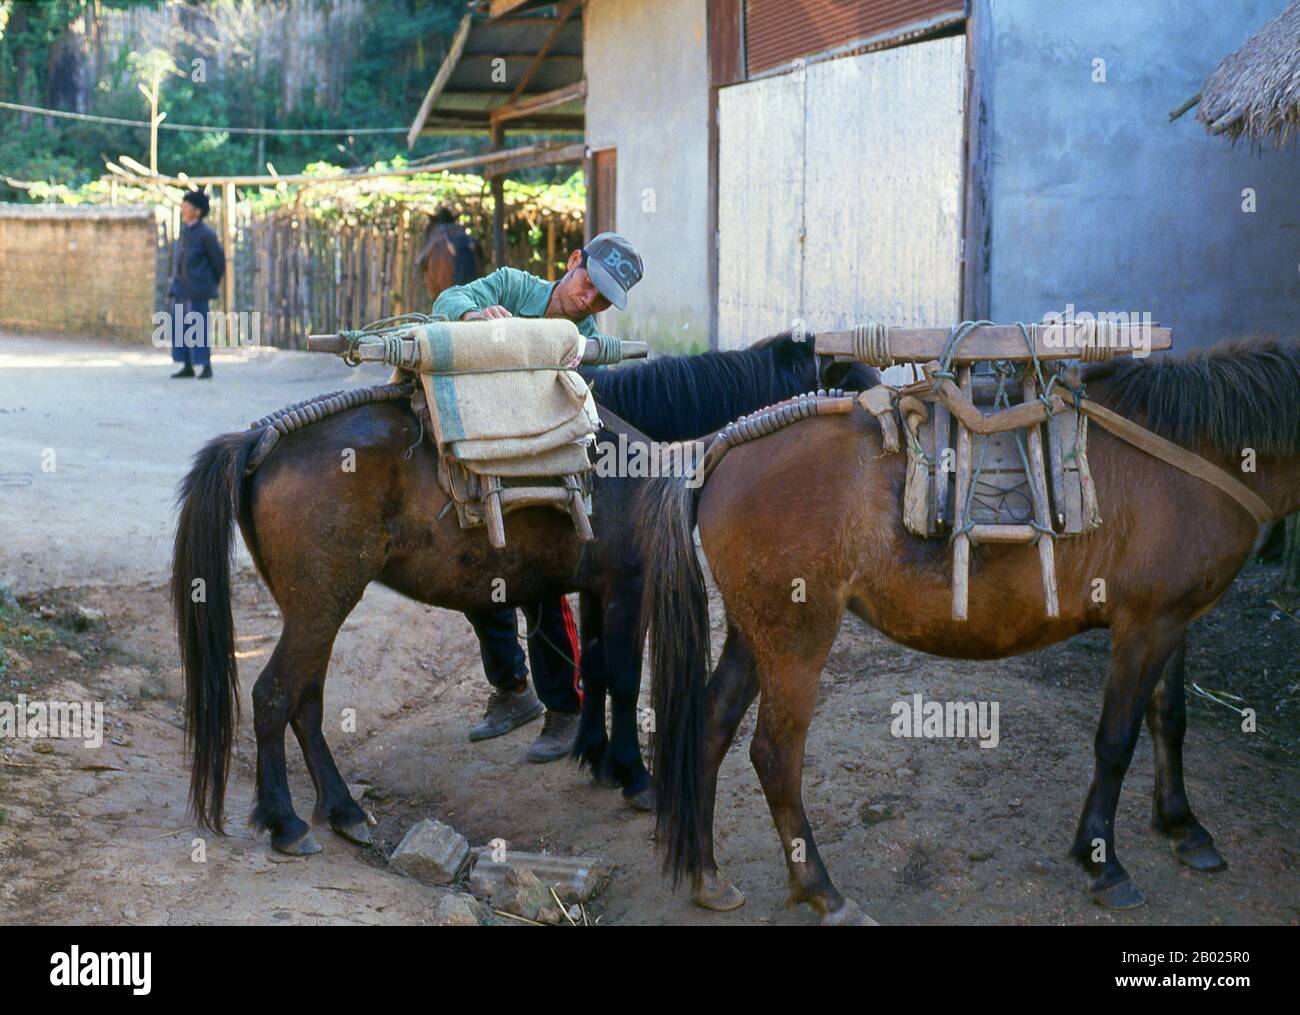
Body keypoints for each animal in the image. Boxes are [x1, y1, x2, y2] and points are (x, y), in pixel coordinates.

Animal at [644, 335, 1294, 920]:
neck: (1194, 453)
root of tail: (722, 446)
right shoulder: (1143, 628)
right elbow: (1115, 741)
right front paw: (1103, 862)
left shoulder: (1173, 621)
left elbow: (1171, 721)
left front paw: (1184, 828)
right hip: (796, 637)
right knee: (775, 755)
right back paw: (824, 893)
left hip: (753, 634)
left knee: (710, 727)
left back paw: (707, 875)